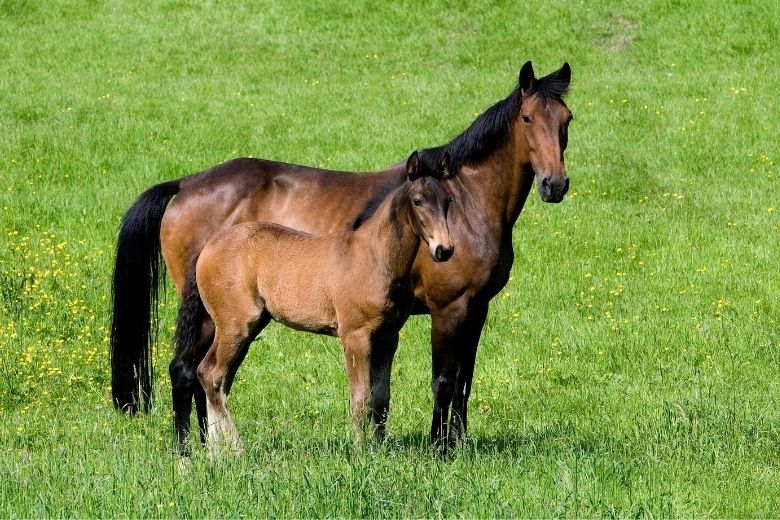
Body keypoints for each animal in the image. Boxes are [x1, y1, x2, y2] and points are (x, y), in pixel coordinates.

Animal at [175, 150, 458, 450]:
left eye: (448, 201)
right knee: (211, 374)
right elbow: (360, 399)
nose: (444, 249)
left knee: (216, 379)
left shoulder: (387, 337)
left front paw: (379, 448)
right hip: (234, 325)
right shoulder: (355, 336)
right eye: (418, 201)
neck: (374, 257)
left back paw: (216, 452)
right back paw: (236, 449)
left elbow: (381, 399)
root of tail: (208, 246)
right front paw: (360, 452)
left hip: (247, 327)